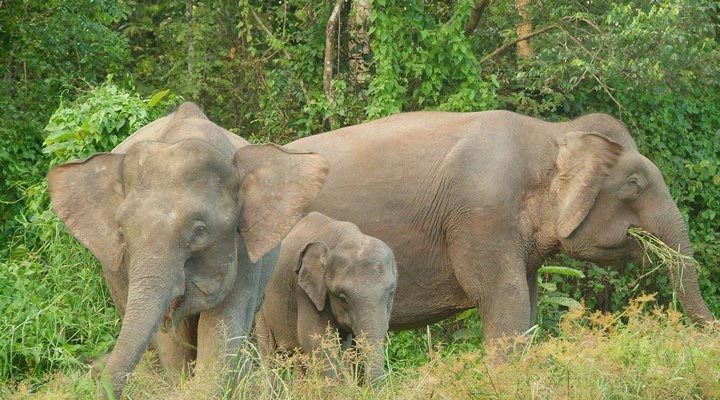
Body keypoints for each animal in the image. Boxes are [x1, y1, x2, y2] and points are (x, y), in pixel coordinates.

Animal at [50, 102, 330, 396]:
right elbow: (171, 340)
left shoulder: (244, 252)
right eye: (122, 233)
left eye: (199, 232)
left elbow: (220, 329)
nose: (94, 371)